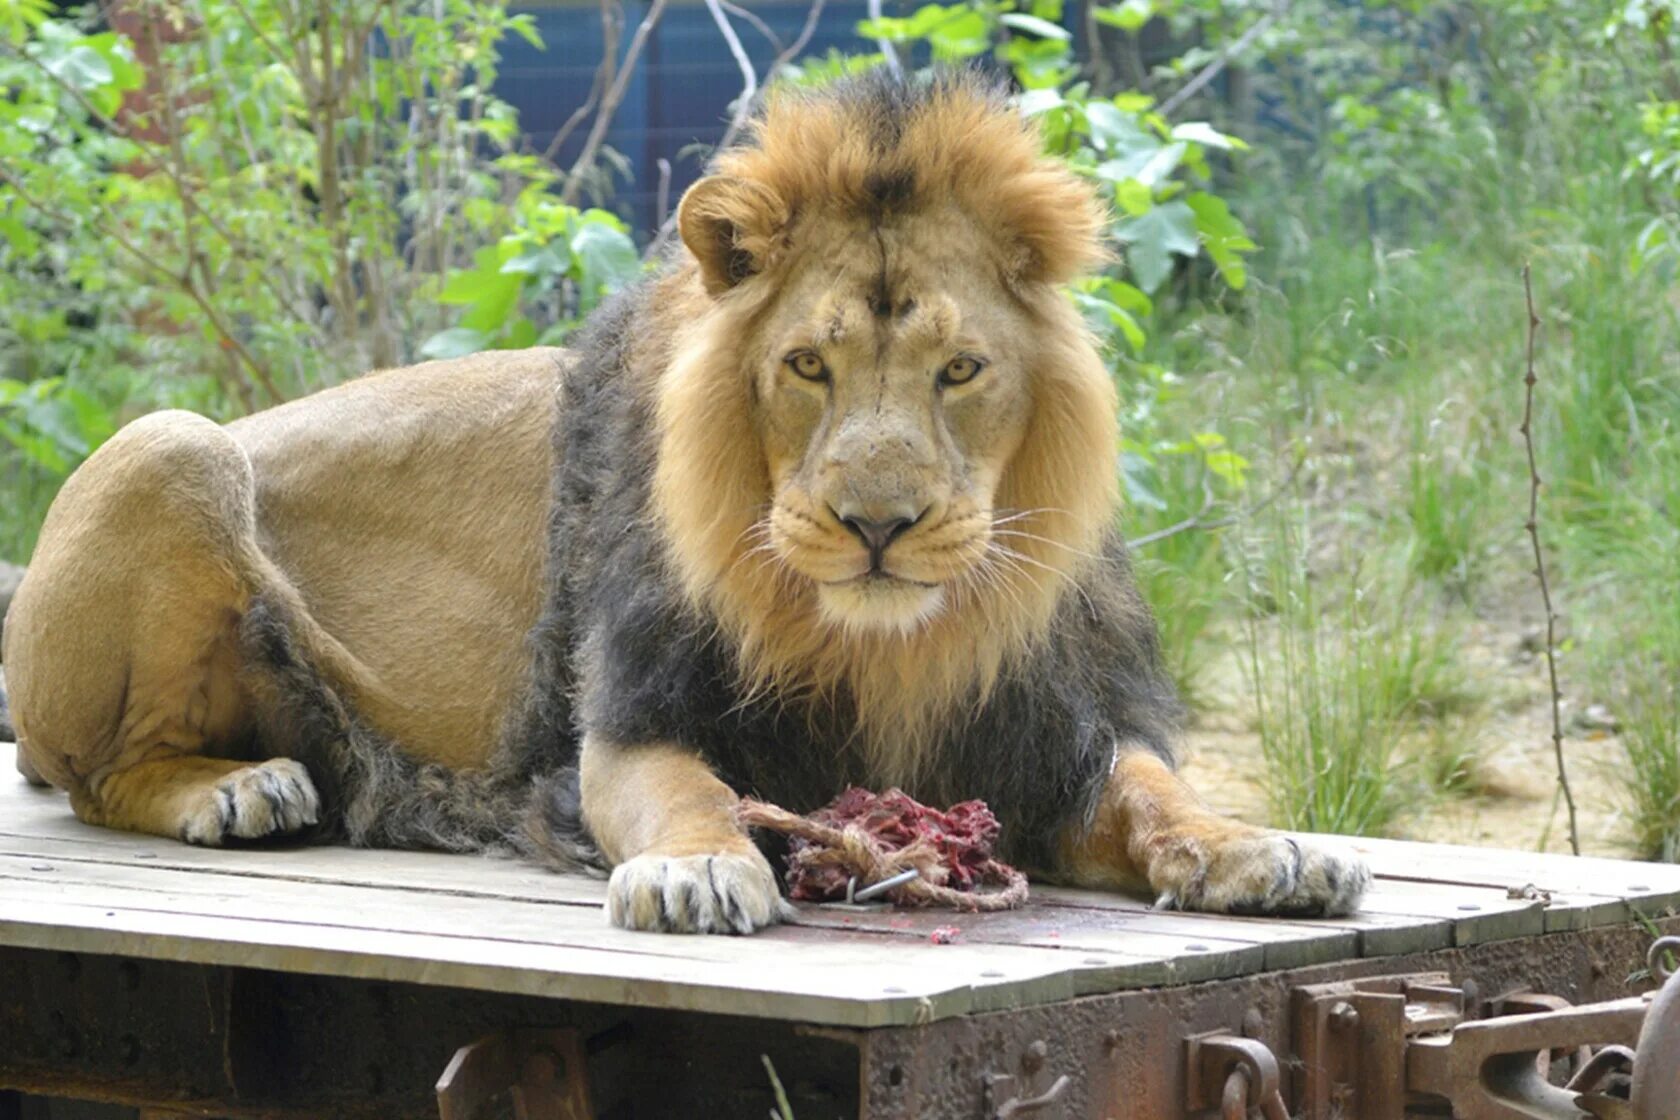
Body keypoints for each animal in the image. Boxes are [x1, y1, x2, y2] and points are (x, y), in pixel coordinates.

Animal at [0, 68, 1364, 926]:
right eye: (807, 367)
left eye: (961, 370)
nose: (879, 526)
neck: (887, 648)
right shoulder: (627, 718)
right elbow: (688, 793)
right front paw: (700, 875)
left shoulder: (1056, 739)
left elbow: (1156, 793)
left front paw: (1261, 848)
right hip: (170, 444)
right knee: (97, 773)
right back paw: (238, 789)